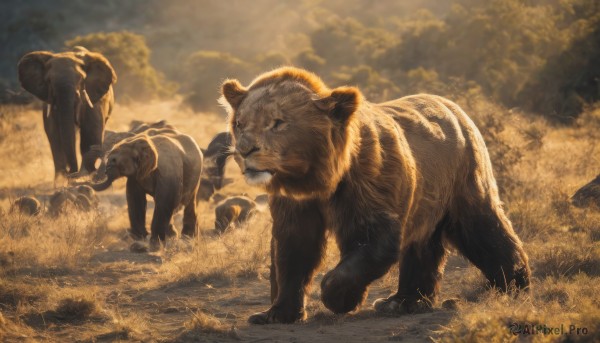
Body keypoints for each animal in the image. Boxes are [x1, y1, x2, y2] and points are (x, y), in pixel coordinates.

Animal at [18, 49, 117, 183]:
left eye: (81, 79)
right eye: (49, 81)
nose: (71, 173)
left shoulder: (94, 99)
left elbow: (90, 132)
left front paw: (86, 175)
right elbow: (54, 134)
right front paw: (60, 182)